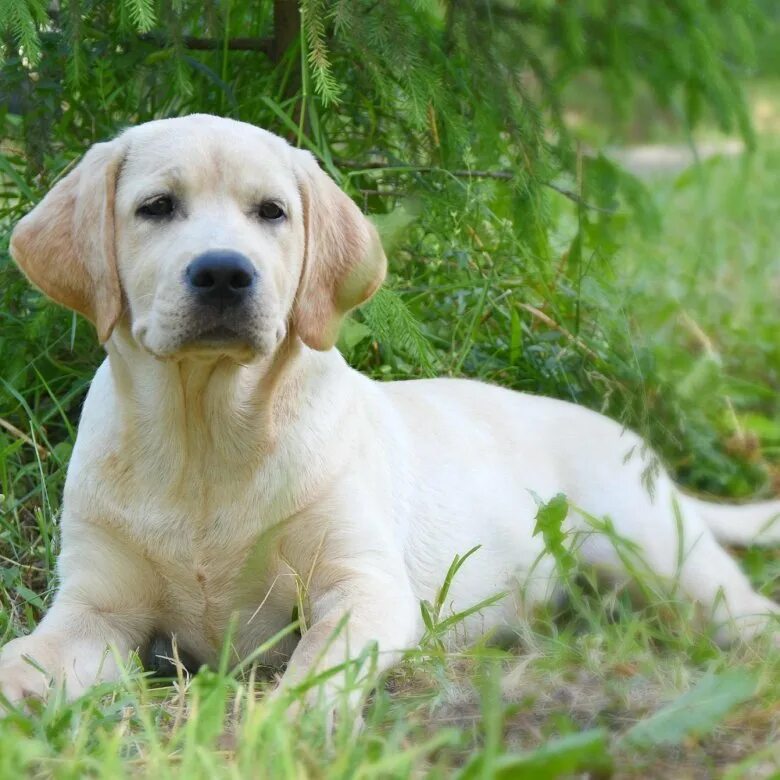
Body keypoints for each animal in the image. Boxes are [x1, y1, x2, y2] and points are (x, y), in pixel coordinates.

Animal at [1, 116, 780, 708]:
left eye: (272, 212)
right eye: (156, 207)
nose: (223, 272)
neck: (205, 441)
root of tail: (636, 445)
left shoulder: (362, 589)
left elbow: (311, 674)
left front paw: (282, 731)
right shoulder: (94, 612)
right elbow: (24, 655)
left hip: (655, 550)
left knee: (742, 609)